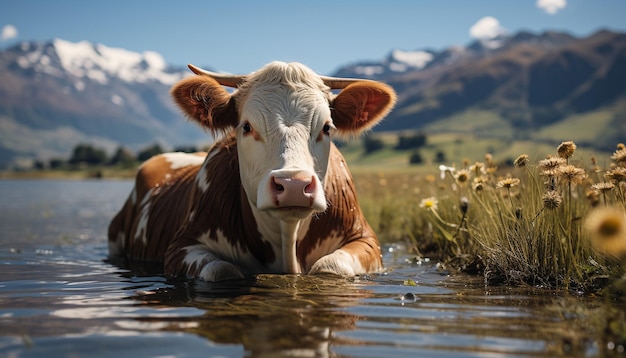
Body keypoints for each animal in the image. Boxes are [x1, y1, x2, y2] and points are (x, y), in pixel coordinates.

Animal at [105, 61, 392, 282]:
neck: (286, 239)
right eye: (246, 126)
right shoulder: (182, 245)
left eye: (327, 127)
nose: (294, 185)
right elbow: (222, 270)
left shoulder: (367, 239)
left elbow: (330, 266)